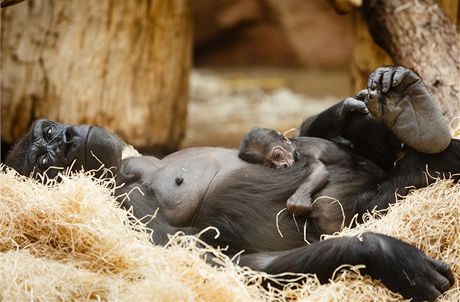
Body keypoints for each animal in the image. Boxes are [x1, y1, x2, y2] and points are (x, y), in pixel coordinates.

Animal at [3, 65, 456, 300]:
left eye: (49, 130)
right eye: (44, 155)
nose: (66, 136)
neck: (125, 172)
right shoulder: (135, 214)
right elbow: (240, 268)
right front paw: (385, 254)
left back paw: (412, 116)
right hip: (382, 197)